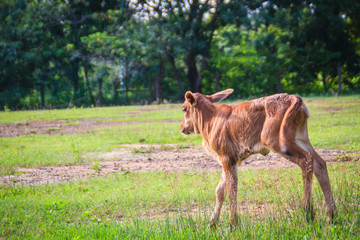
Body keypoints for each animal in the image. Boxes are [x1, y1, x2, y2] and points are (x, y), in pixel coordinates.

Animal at [181, 89, 336, 228]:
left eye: (184, 109)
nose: (182, 127)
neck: (209, 121)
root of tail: (293, 97)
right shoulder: (233, 160)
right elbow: (220, 191)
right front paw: (213, 223)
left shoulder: (226, 157)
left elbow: (231, 190)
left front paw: (233, 224)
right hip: (300, 138)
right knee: (320, 164)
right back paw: (331, 216)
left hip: (277, 141)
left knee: (306, 160)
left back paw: (308, 214)